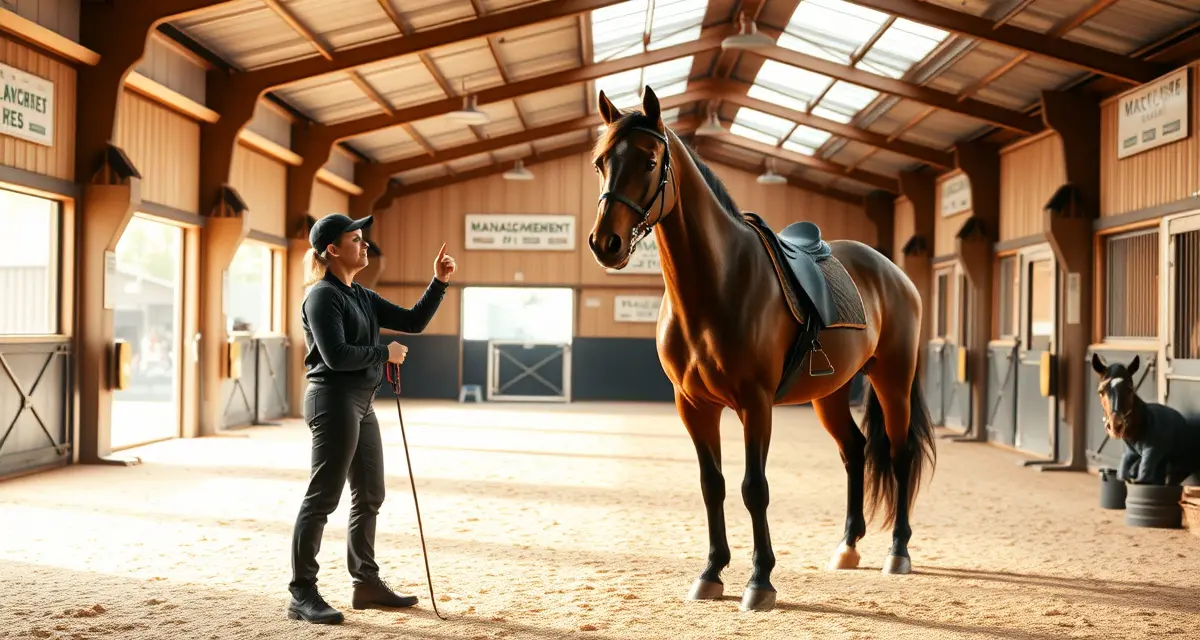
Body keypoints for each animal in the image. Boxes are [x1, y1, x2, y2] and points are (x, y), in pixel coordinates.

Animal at [585, 86, 937, 612]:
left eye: (649, 161)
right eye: (600, 162)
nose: (604, 243)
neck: (717, 284)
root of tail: (892, 272)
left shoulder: (755, 404)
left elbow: (755, 488)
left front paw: (760, 581)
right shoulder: (693, 405)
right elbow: (712, 485)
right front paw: (711, 572)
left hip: (892, 379)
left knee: (898, 455)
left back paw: (898, 551)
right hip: (830, 393)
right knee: (854, 451)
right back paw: (848, 547)